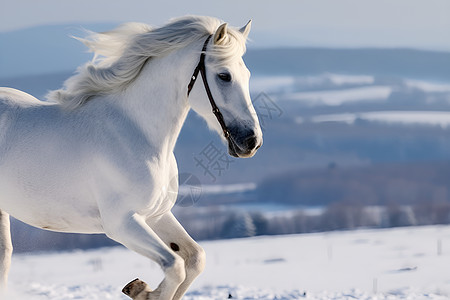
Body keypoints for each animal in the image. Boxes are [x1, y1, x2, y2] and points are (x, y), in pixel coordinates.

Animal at [0, 17, 260, 300]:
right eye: (224, 75)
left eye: (247, 75)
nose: (251, 141)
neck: (136, 132)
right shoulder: (121, 223)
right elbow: (174, 266)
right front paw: (142, 290)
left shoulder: (156, 215)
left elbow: (194, 258)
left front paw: (142, 289)